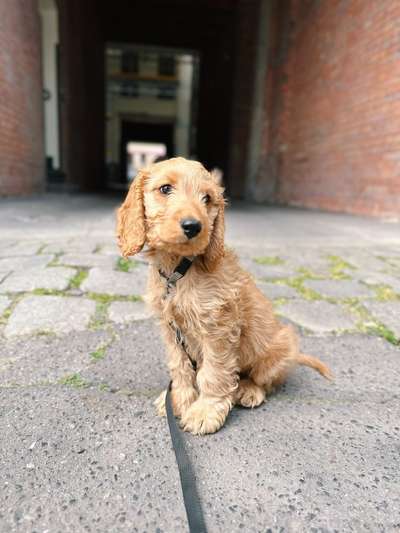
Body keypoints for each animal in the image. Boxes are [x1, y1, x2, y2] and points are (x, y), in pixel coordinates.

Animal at [115, 156, 332, 434]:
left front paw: (205, 411)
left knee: (263, 381)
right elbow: (180, 367)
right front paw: (178, 400)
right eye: (165, 189)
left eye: (207, 198)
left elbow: (214, 373)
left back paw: (249, 391)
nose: (194, 226)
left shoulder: (218, 328)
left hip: (280, 348)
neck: (179, 272)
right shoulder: (171, 330)